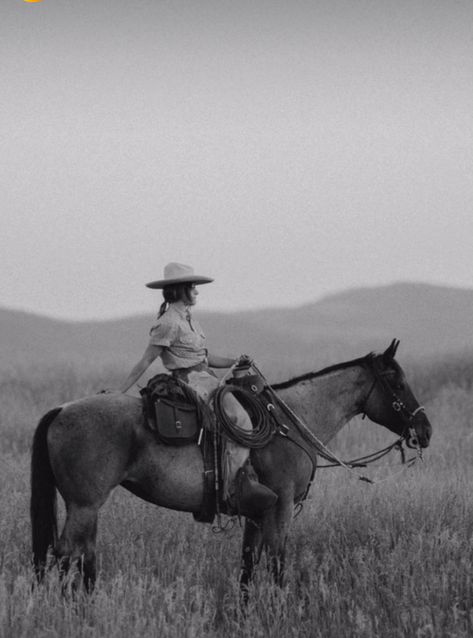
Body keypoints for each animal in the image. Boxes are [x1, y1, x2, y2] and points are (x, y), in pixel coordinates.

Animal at [30, 340, 432, 596]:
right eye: (397, 382)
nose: (425, 430)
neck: (289, 423)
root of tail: (61, 410)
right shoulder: (281, 507)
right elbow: (276, 562)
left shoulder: (256, 513)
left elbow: (248, 565)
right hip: (84, 504)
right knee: (65, 554)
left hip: (86, 508)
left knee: (83, 556)